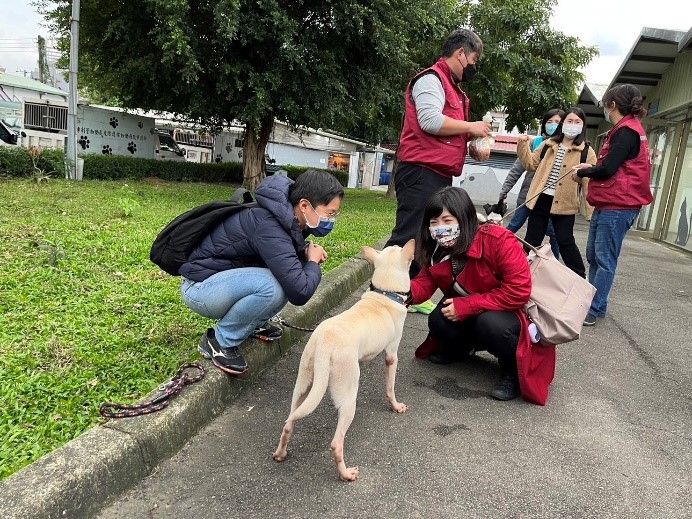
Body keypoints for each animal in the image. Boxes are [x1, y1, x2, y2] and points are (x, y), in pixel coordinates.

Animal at [272, 242, 414, 482]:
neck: (384, 295)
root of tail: (324, 344)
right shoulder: (391, 355)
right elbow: (390, 388)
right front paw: (395, 406)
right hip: (347, 396)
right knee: (336, 443)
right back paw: (346, 474)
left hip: (303, 385)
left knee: (290, 422)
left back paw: (281, 453)